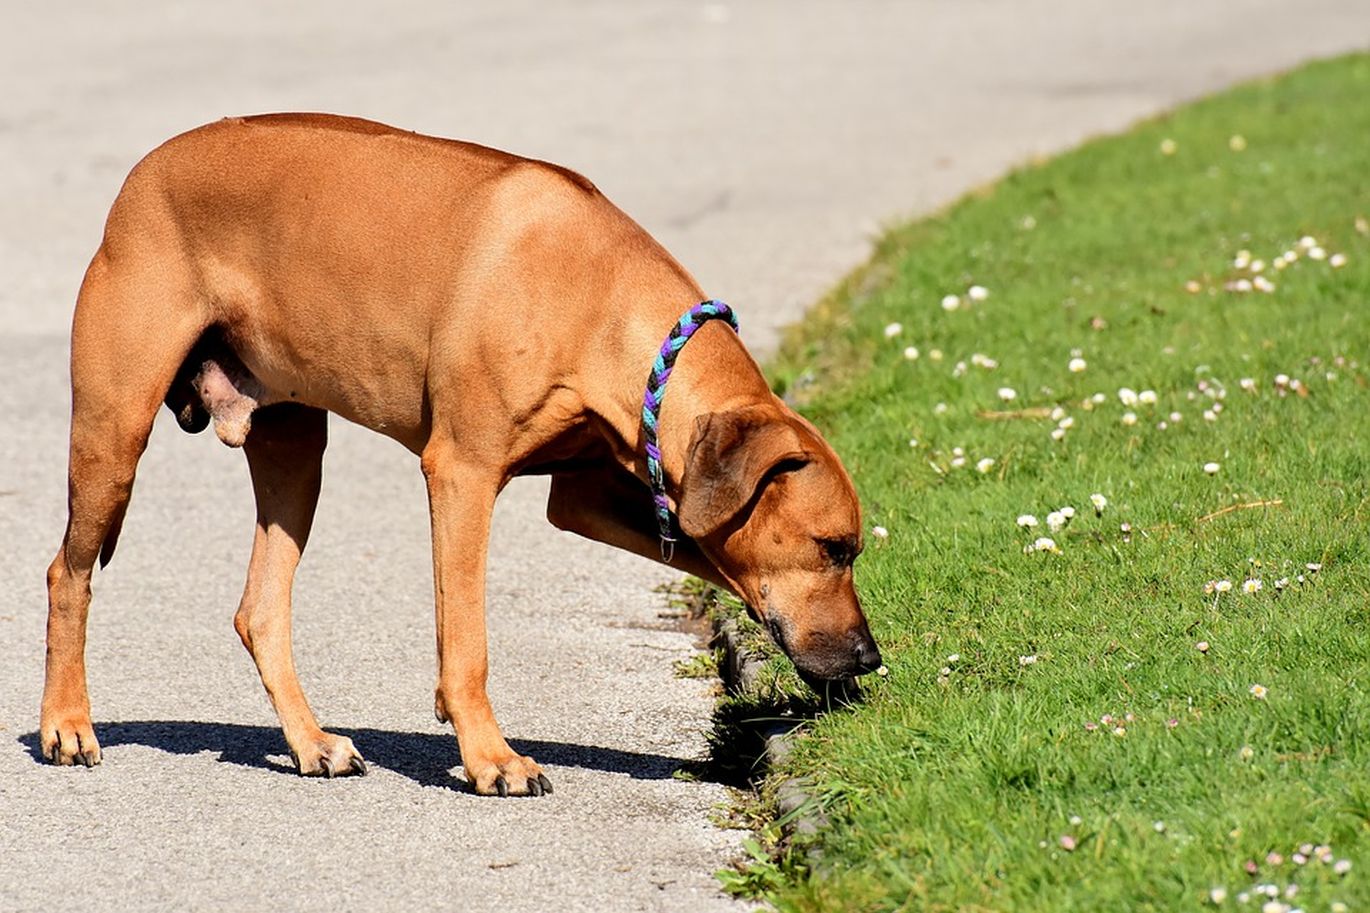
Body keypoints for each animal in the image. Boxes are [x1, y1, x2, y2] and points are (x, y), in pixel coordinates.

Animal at [42, 113, 882, 795]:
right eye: (833, 547)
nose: (870, 657)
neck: (600, 298)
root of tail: (142, 172)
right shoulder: (462, 473)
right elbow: (468, 640)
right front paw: (490, 757)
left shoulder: (588, 493)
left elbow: (708, 553)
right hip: (114, 434)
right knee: (67, 572)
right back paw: (67, 723)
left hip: (293, 444)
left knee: (260, 608)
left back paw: (311, 743)